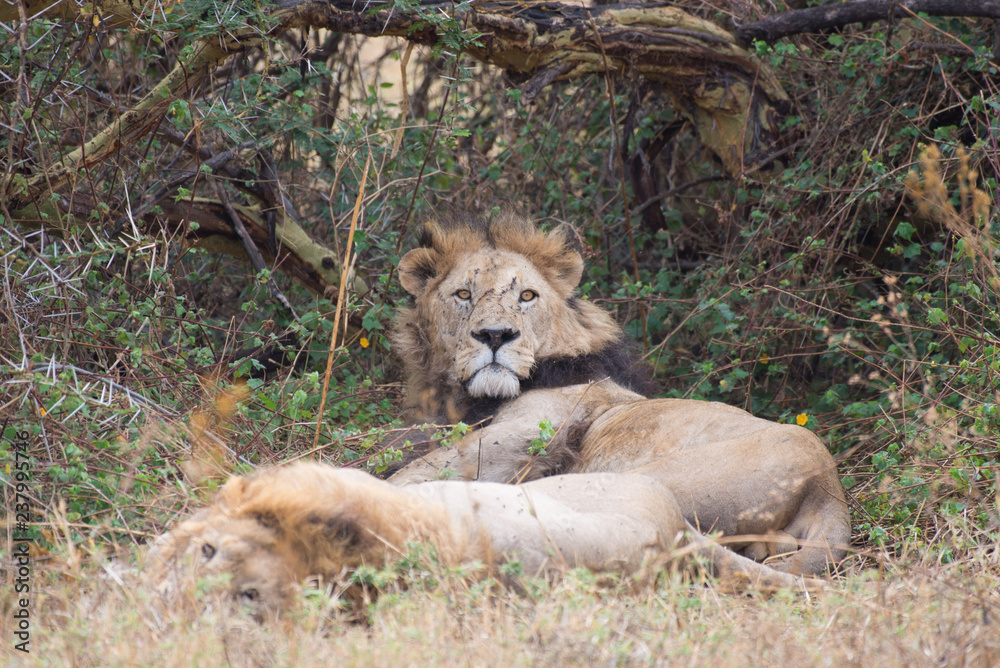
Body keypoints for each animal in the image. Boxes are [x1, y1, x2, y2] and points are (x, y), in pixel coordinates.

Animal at [387, 212, 850, 576]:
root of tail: (828, 489)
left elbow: (415, 471)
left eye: (527, 296)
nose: (495, 335)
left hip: (647, 480)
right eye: (463, 294)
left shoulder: (525, 434)